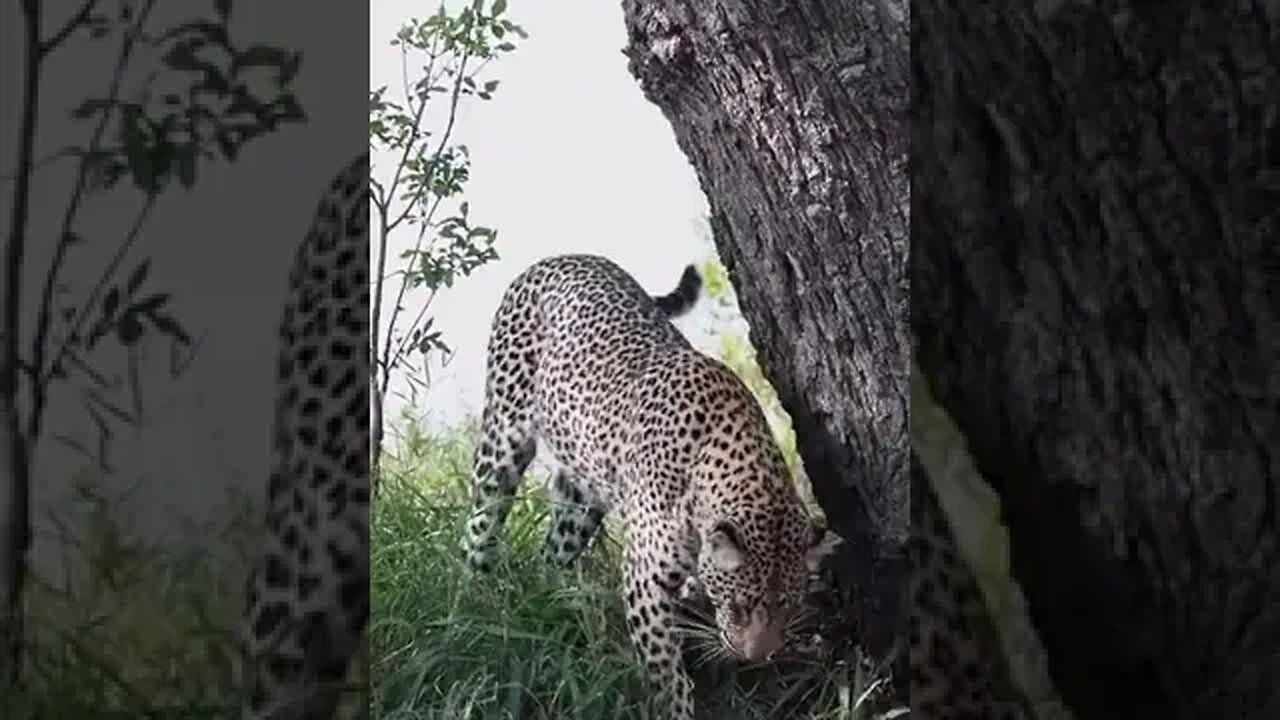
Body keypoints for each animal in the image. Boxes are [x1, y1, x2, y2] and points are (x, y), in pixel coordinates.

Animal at [462, 253, 839, 720]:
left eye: (787, 604)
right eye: (739, 605)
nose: (756, 658)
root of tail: (565, 257)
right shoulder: (644, 580)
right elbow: (665, 671)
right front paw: (675, 706)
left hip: (582, 493)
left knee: (554, 549)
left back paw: (559, 603)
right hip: (503, 434)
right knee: (480, 524)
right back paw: (475, 599)